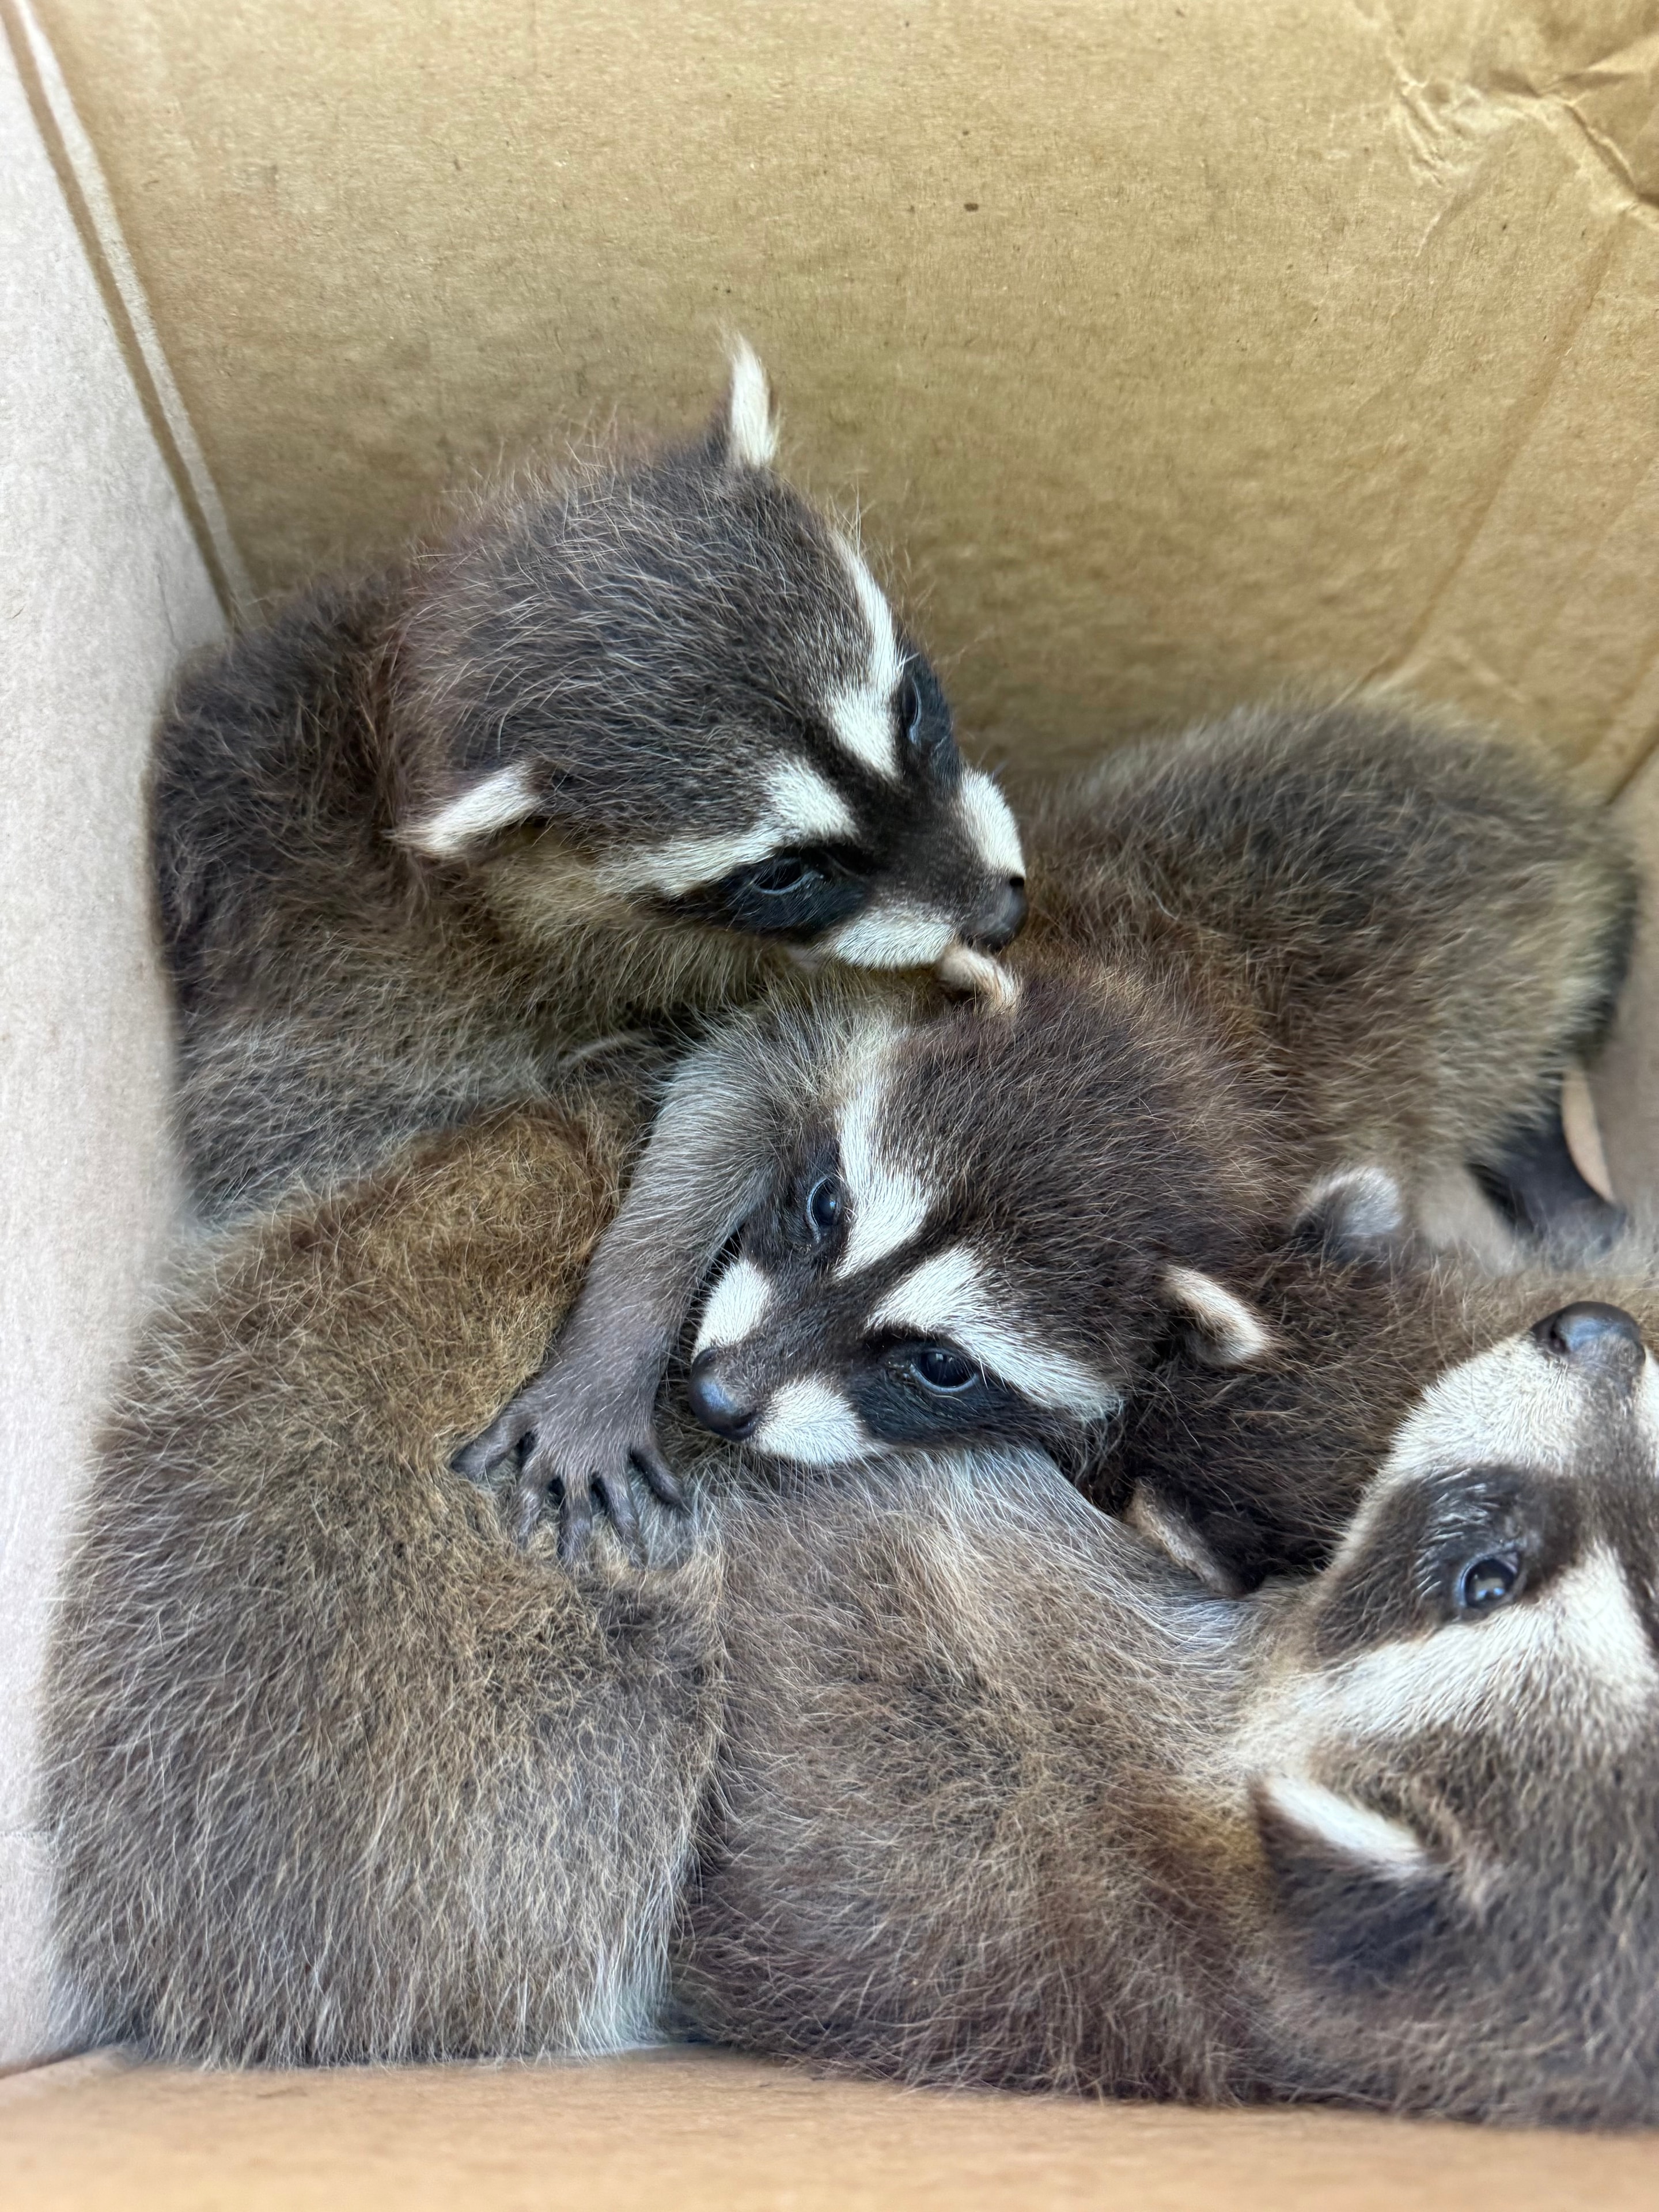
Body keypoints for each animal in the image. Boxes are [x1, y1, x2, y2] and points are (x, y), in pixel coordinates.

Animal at [458, 703, 1636, 1539]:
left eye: (944, 1366)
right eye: (828, 1205)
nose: (712, 1398)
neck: (1176, 1030)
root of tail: (1556, 811)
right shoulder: (892, 998)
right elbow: (731, 1093)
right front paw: (618, 1338)